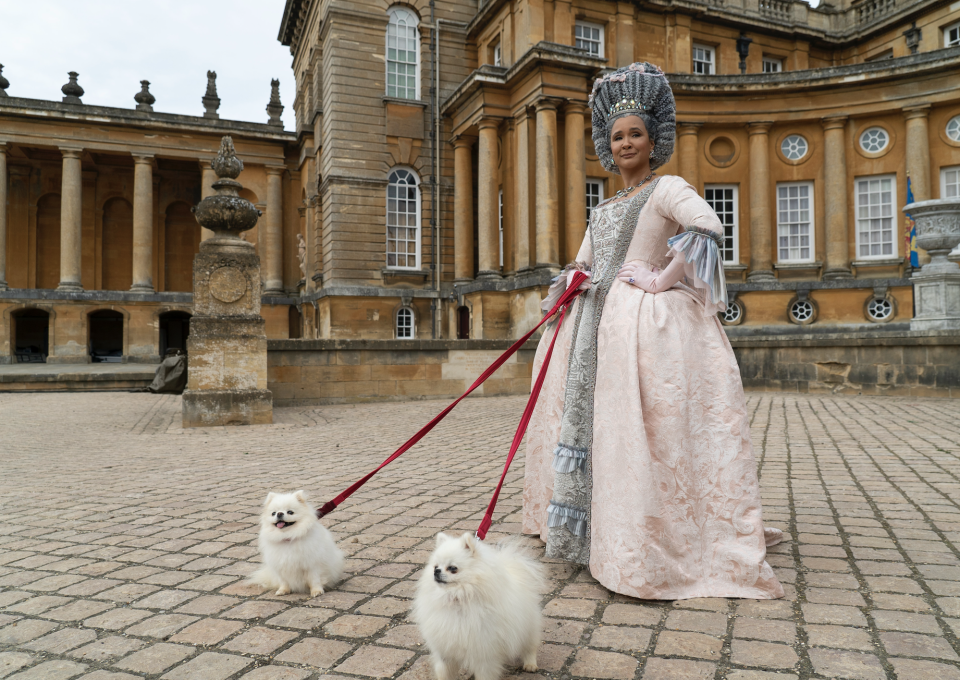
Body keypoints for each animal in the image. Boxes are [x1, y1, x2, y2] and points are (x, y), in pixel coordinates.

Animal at [410, 532, 548, 680]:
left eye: (453, 568)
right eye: (435, 566)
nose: (436, 572)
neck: (457, 599)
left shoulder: (484, 651)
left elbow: (485, 673)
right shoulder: (445, 648)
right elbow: (445, 672)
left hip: (528, 628)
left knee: (530, 646)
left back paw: (530, 664)